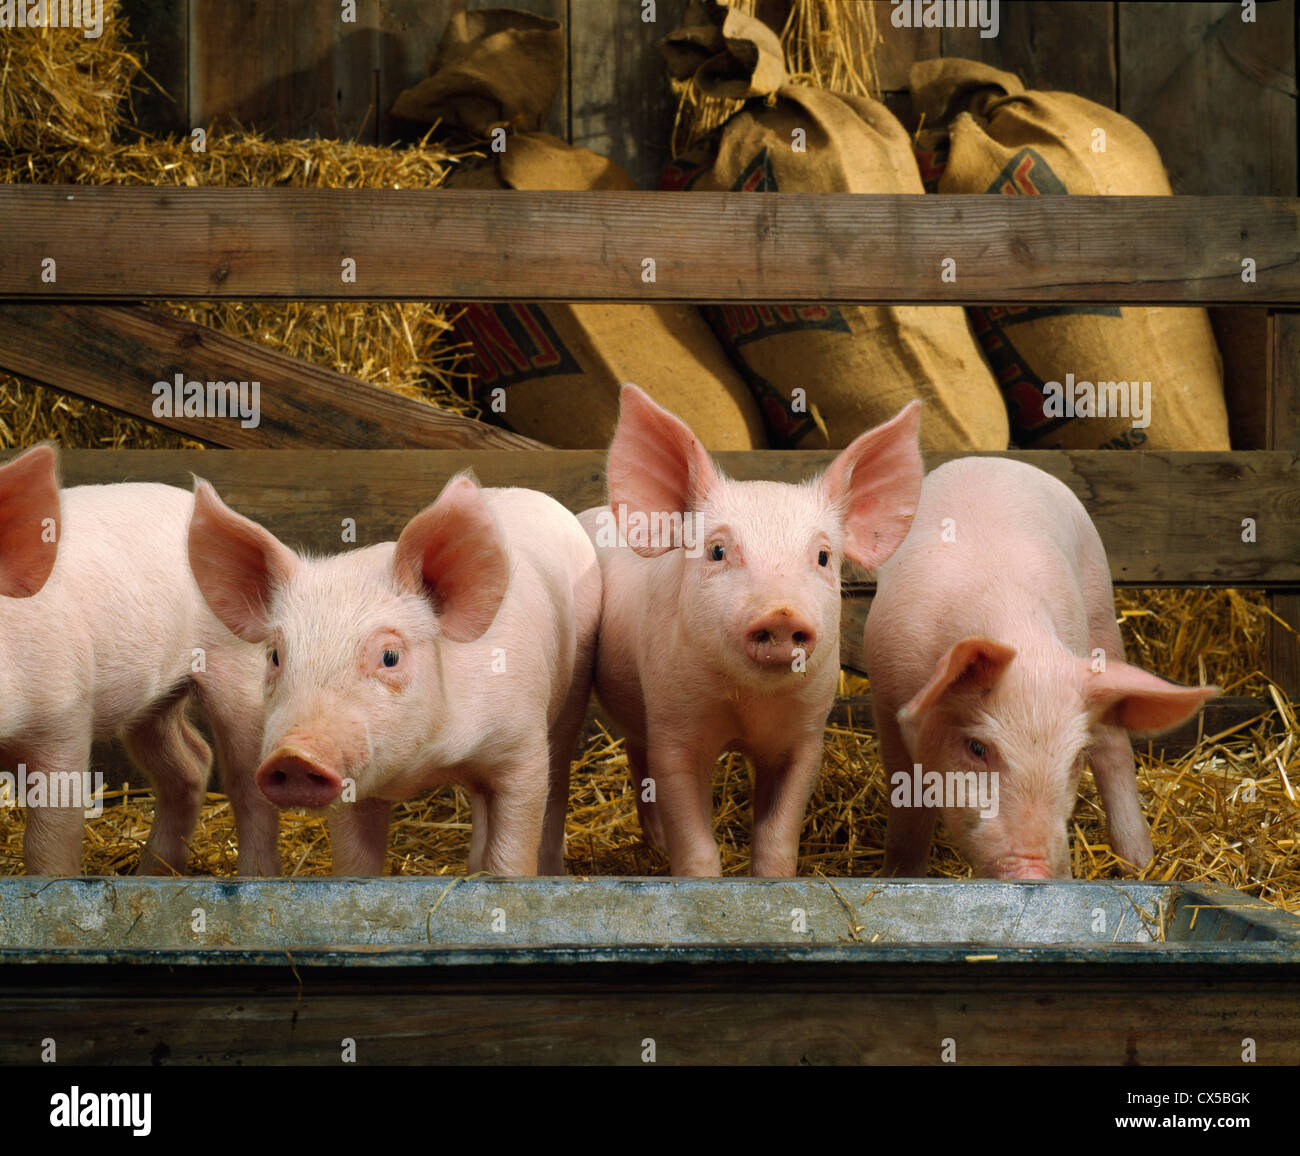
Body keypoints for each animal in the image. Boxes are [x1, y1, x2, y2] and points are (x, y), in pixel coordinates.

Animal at [0, 445, 272, 876]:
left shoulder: (63, 719)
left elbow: (48, 840)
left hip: (238, 662)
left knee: (247, 781)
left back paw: (252, 877)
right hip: (156, 702)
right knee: (191, 764)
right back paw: (151, 874)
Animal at [186, 472, 601, 876]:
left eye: (389, 656)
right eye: (275, 656)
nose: (294, 754)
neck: (429, 763)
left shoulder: (522, 750)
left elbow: (511, 855)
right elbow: (355, 864)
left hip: (574, 686)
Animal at [578, 384, 923, 877]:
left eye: (823, 557)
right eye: (718, 550)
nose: (781, 614)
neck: (747, 707)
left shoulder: (804, 737)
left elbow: (777, 839)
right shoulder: (674, 727)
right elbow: (696, 843)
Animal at [864, 456, 1218, 880]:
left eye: (1074, 758)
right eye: (978, 747)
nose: (1032, 871)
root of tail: (994, 460)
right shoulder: (886, 697)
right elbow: (908, 806)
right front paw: (898, 875)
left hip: (1100, 612)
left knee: (1114, 747)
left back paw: (1139, 864)